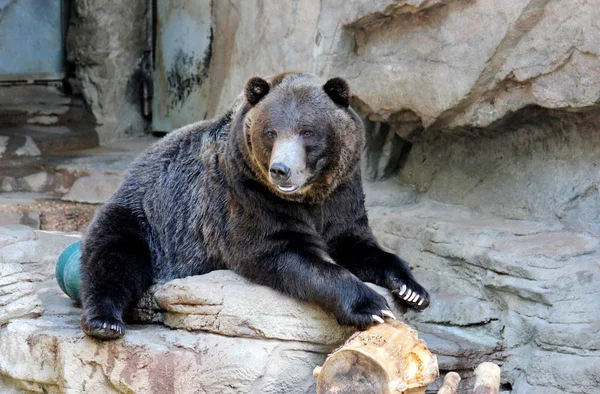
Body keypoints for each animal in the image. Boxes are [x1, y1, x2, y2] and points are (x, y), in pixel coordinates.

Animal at [79, 73, 428, 338]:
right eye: (270, 132)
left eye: (307, 131)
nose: (281, 170)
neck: (309, 196)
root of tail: (134, 167)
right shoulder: (248, 198)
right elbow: (283, 252)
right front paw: (372, 306)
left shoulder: (342, 194)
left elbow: (355, 242)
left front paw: (412, 289)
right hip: (145, 217)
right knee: (114, 257)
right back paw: (105, 321)